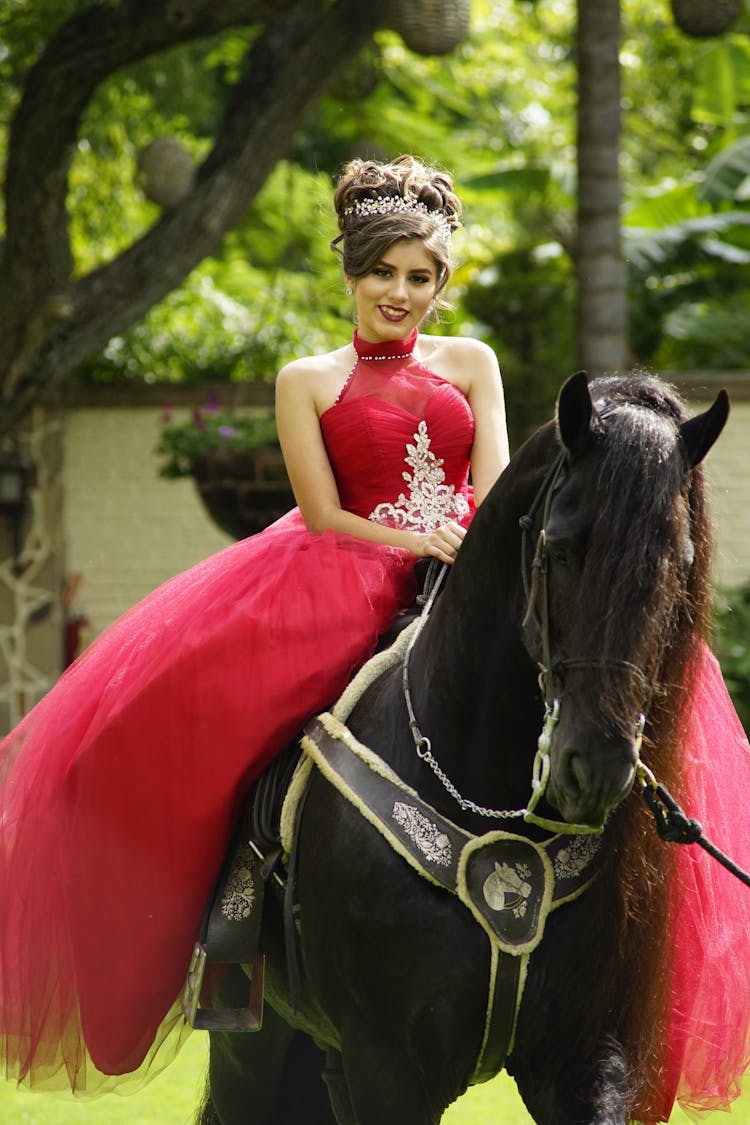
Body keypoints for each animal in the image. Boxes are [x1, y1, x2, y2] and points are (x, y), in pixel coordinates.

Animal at [197, 371, 728, 1125]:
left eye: (680, 566)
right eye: (560, 549)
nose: (596, 765)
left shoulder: (585, 1057)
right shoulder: (387, 1064)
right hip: (255, 1039)